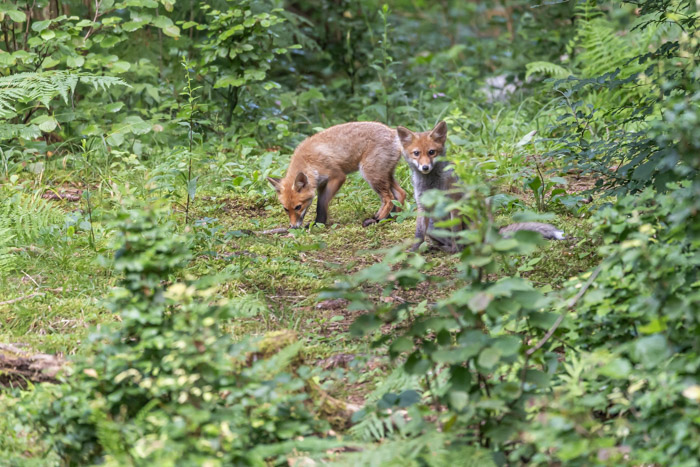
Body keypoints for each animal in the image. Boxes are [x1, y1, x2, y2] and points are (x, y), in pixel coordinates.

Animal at [270, 122, 408, 229]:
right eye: (285, 209)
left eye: (298, 207)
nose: (293, 227)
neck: (308, 161)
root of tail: (392, 132)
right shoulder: (321, 184)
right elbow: (320, 205)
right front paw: (318, 223)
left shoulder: (337, 176)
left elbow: (322, 203)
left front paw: (317, 224)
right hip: (385, 175)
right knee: (400, 194)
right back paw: (393, 219)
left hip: (371, 174)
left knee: (389, 199)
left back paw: (377, 220)